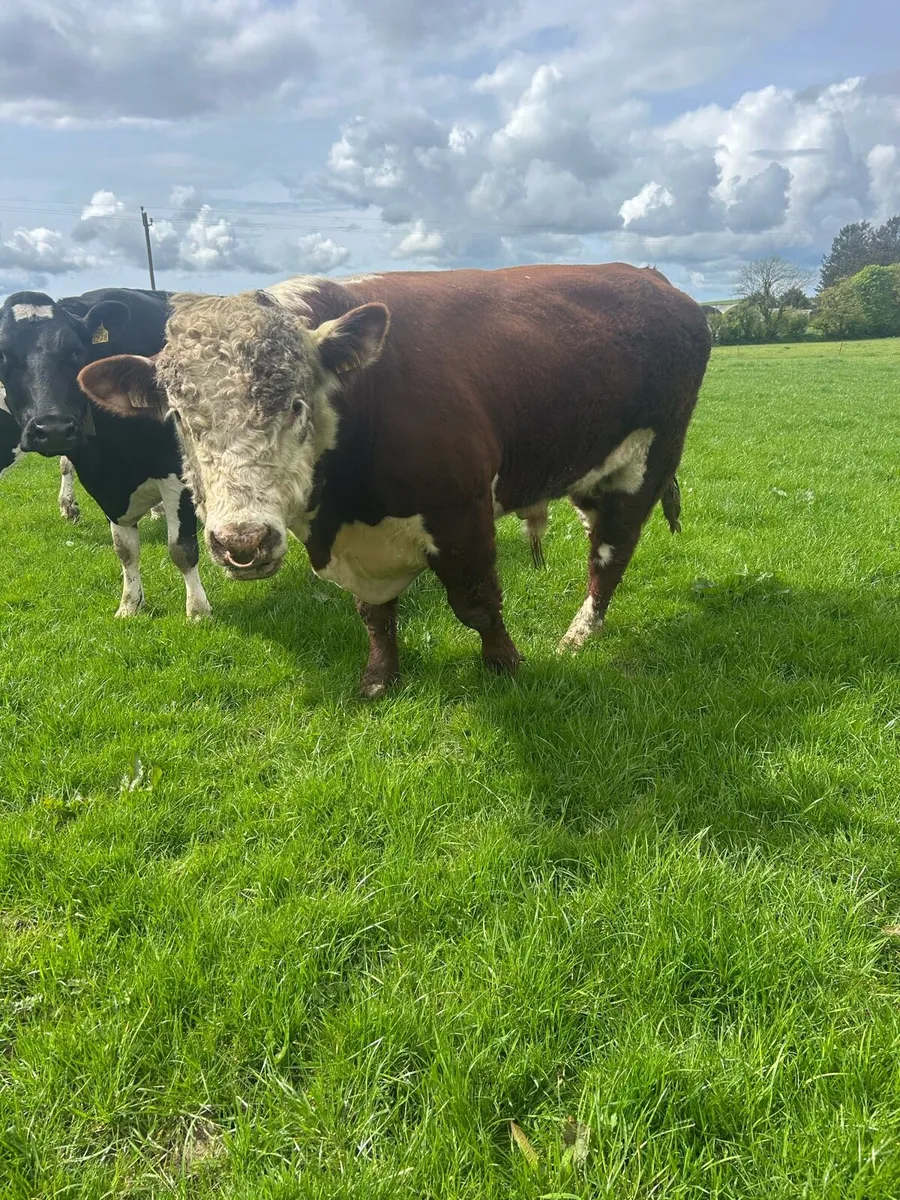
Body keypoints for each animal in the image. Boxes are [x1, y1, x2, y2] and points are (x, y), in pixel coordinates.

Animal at [0, 288, 209, 619]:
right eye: (3, 354)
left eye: (75, 352)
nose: (53, 429)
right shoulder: (105, 485)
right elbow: (125, 551)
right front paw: (130, 604)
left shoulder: (177, 472)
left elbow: (181, 548)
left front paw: (198, 610)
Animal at [77, 264, 711, 696]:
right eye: (180, 416)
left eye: (295, 404)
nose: (243, 542)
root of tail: (653, 280)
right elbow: (375, 615)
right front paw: (380, 678)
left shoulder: (463, 514)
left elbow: (478, 603)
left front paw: (505, 665)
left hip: (647, 463)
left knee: (610, 553)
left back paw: (581, 633)